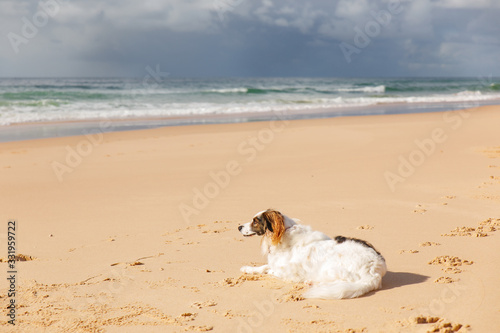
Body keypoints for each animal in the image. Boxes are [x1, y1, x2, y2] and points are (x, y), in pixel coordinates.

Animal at [237, 208, 386, 298]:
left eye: (255, 221)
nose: (238, 227)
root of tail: (374, 270)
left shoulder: (288, 273)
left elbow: (269, 271)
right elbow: (263, 267)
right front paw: (248, 269)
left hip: (330, 269)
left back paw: (313, 283)